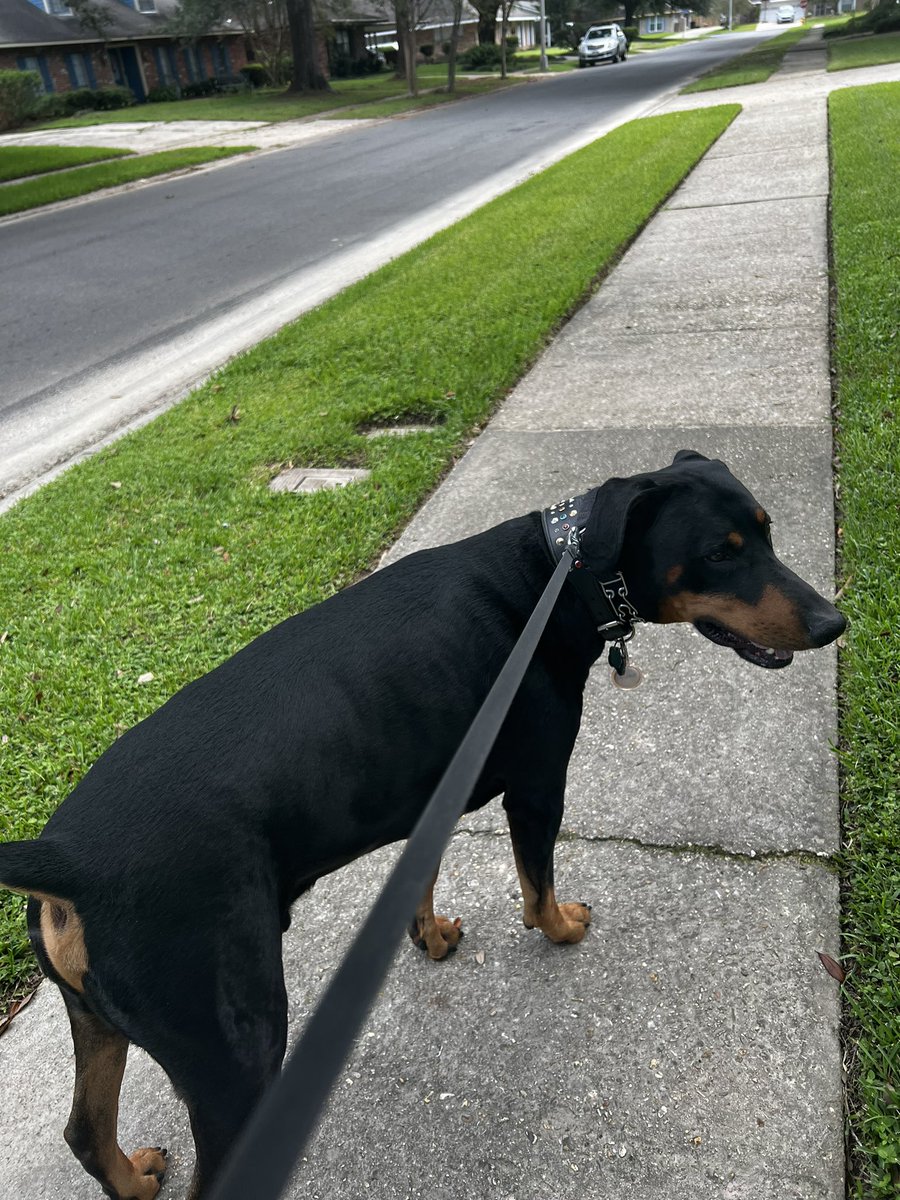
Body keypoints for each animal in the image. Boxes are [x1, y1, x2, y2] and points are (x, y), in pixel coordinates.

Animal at [0, 451, 844, 1200]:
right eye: (719, 553)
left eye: (766, 531)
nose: (834, 621)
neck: (558, 572)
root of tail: (68, 859)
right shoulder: (536, 785)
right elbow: (536, 885)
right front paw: (562, 927)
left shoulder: (436, 786)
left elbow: (425, 873)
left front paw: (429, 936)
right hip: (231, 1049)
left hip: (96, 1017)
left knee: (84, 1131)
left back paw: (134, 1176)